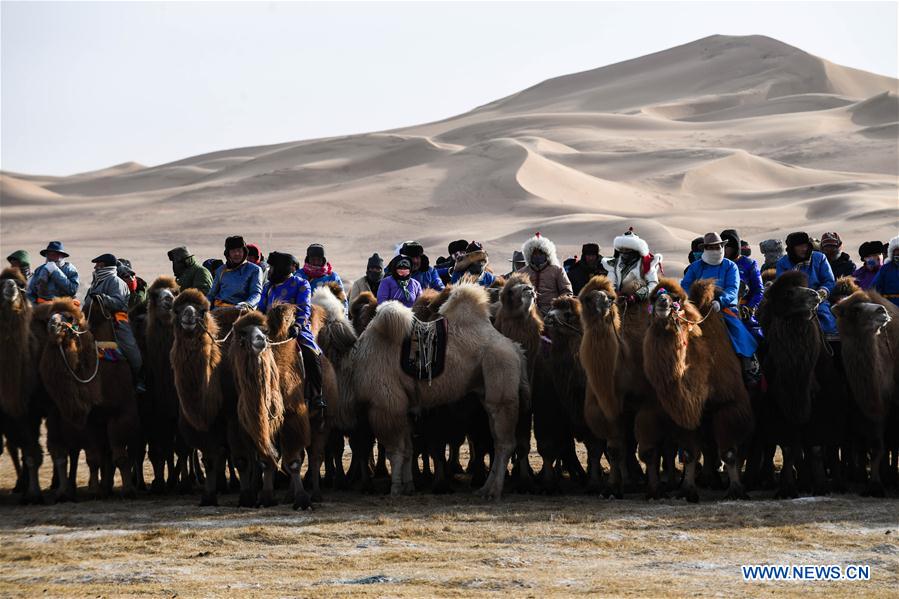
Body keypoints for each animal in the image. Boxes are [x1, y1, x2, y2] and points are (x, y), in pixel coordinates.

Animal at [348, 284, 532, 500]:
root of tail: (516, 349)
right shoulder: (402, 407)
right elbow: (408, 448)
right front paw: (408, 486)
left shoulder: (385, 405)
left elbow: (395, 450)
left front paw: (395, 490)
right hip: (487, 392)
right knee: (497, 438)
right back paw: (484, 489)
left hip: (501, 378)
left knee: (505, 443)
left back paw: (494, 492)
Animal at [644, 278, 756, 502]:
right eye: (654, 297)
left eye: (675, 299)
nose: (662, 302)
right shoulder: (687, 412)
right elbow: (689, 453)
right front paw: (688, 490)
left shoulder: (730, 405)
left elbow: (729, 452)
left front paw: (735, 490)